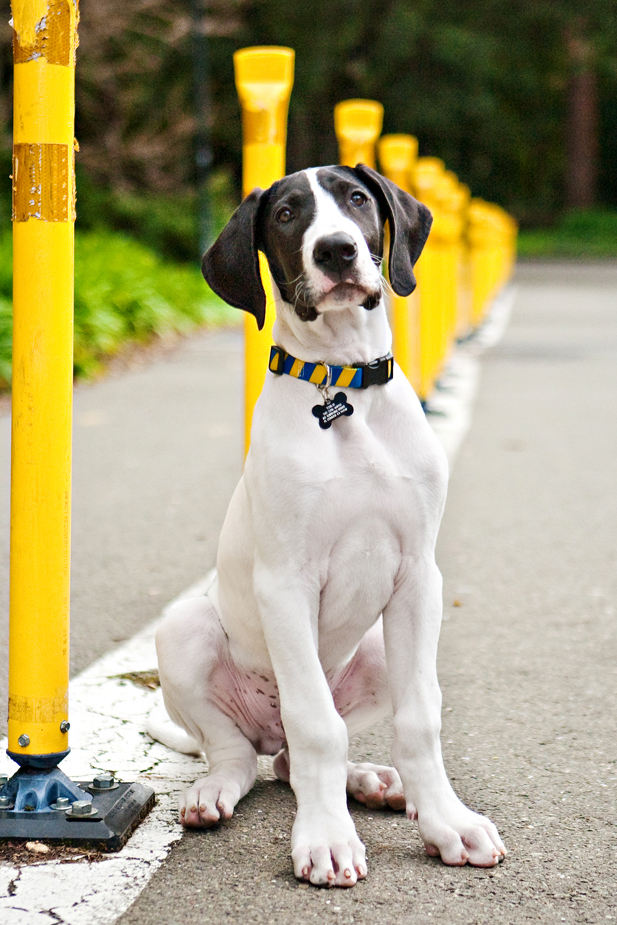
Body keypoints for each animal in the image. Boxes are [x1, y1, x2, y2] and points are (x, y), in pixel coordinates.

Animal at [150, 166, 506, 888]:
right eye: (286, 214)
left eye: (358, 200)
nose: (336, 251)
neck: (343, 385)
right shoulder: (285, 584)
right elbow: (316, 724)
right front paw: (326, 838)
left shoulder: (419, 577)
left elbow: (420, 718)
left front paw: (446, 822)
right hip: (185, 633)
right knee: (245, 753)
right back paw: (214, 793)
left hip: (377, 646)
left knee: (293, 760)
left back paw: (370, 780)